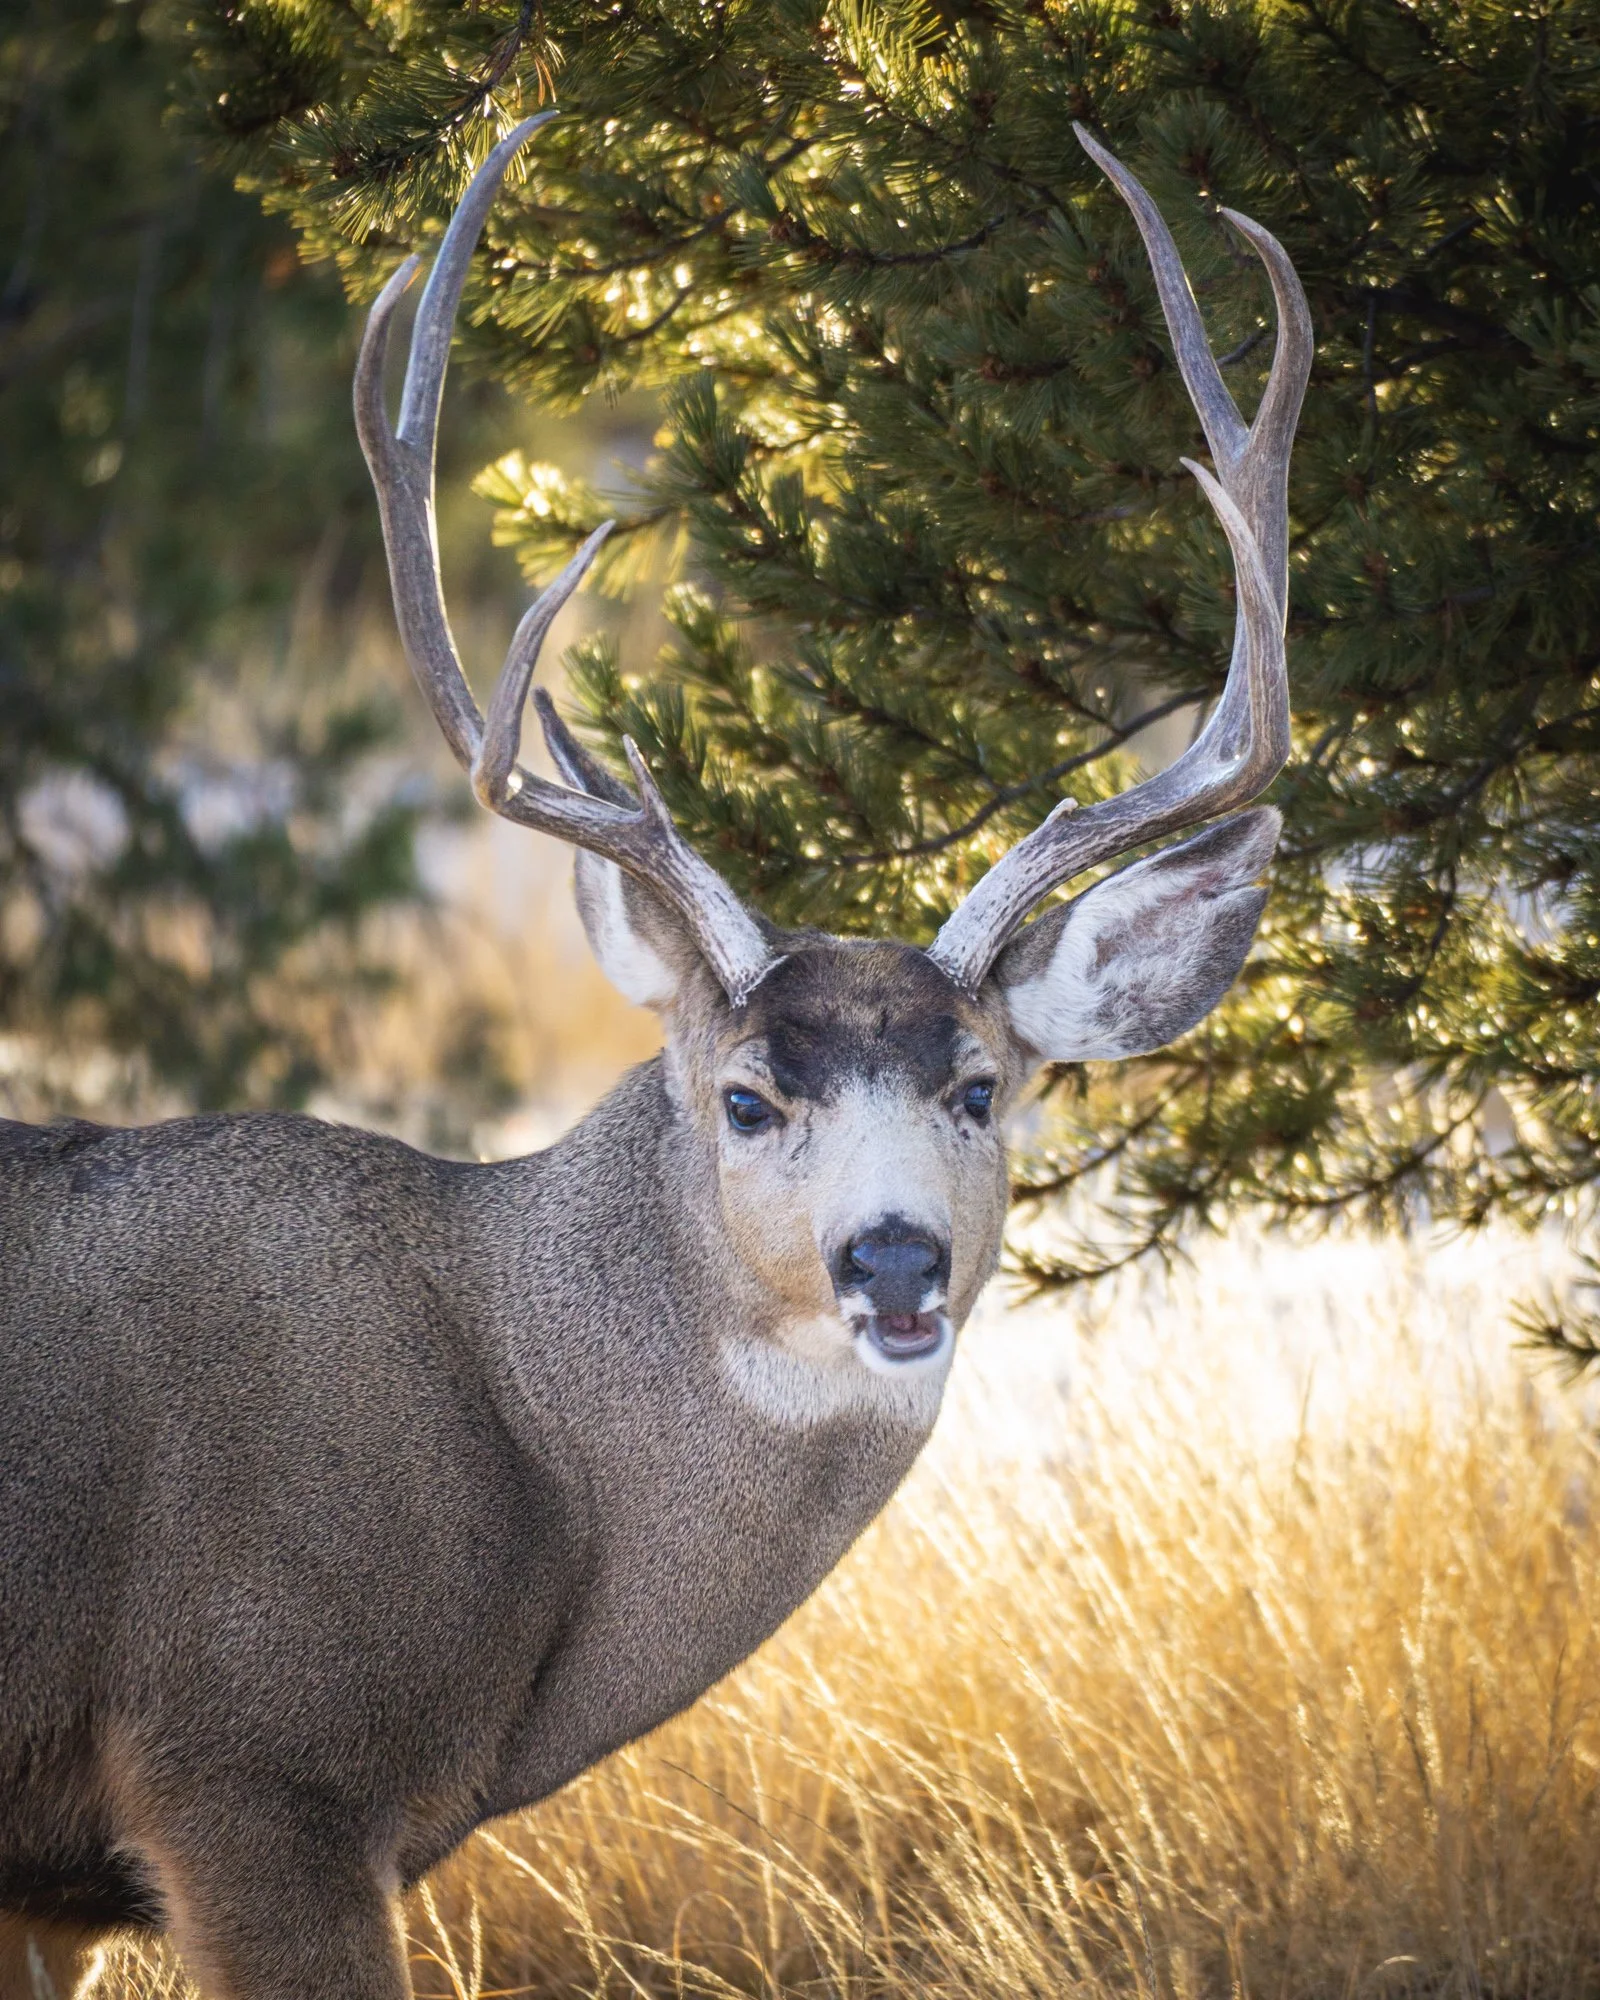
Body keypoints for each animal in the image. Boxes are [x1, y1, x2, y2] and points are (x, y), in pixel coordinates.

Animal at [0, 116, 1310, 2000]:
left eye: (982, 1087)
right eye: (746, 1096)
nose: (893, 1258)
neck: (523, 1433)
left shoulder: (61, 1871)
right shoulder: (249, 1759)